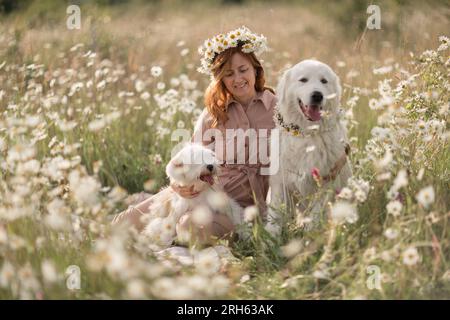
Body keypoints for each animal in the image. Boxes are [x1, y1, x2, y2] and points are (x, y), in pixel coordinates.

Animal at [266, 60, 354, 235]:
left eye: (324, 81)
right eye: (303, 80)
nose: (317, 95)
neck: (308, 133)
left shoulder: (325, 183)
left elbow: (314, 218)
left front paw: (311, 237)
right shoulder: (280, 182)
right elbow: (276, 215)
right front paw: (271, 236)